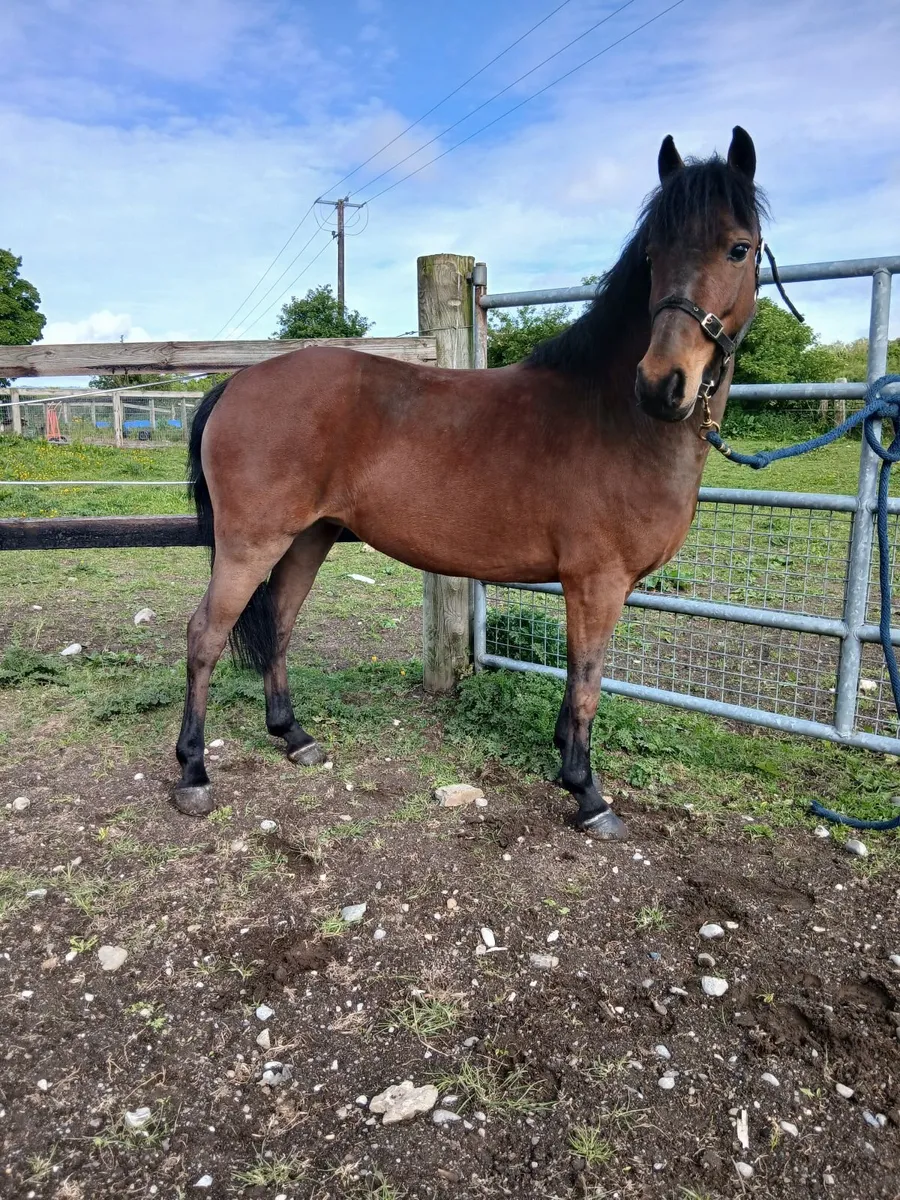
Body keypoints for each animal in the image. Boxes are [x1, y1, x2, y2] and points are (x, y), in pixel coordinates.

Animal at [175, 126, 766, 840]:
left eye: (739, 247)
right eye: (653, 255)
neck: (612, 414)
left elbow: (577, 679)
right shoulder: (597, 582)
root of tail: (237, 383)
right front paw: (587, 793)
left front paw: (564, 761)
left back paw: (294, 737)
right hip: (250, 543)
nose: (662, 385)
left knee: (281, 623)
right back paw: (193, 771)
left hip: (308, 538)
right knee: (205, 635)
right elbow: (588, 681)